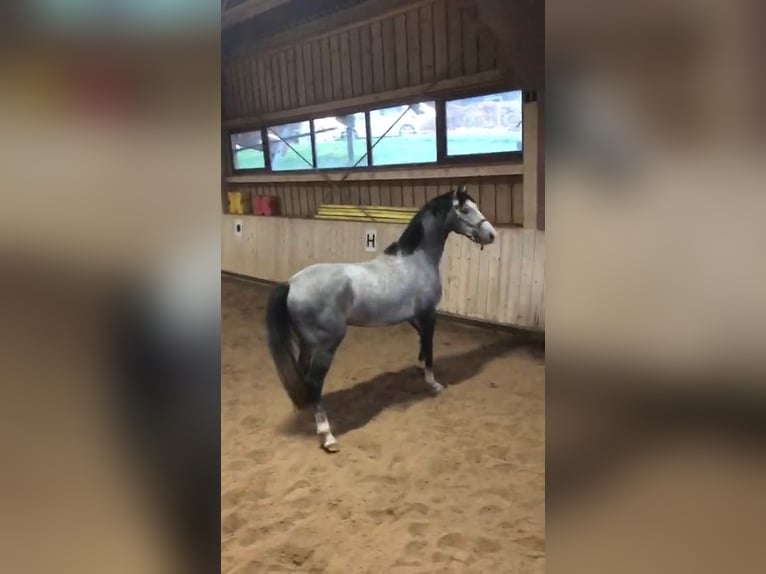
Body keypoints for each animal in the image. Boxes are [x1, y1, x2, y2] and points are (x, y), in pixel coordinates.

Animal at [268, 187, 498, 452]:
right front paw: (432, 383)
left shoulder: (414, 317)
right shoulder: (429, 315)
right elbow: (430, 348)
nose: (491, 234)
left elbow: (421, 343)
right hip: (326, 345)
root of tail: (291, 283)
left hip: (307, 344)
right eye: (465, 209)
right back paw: (327, 436)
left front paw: (419, 368)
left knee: (302, 374)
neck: (415, 260)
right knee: (314, 382)